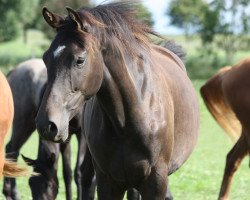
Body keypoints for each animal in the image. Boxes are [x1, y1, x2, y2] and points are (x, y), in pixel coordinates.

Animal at [2, 58, 94, 199]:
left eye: (48, 185)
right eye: (31, 183)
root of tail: (15, 71)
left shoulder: (78, 136)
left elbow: (72, 172)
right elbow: (68, 172)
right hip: (22, 124)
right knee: (11, 149)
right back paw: (12, 193)